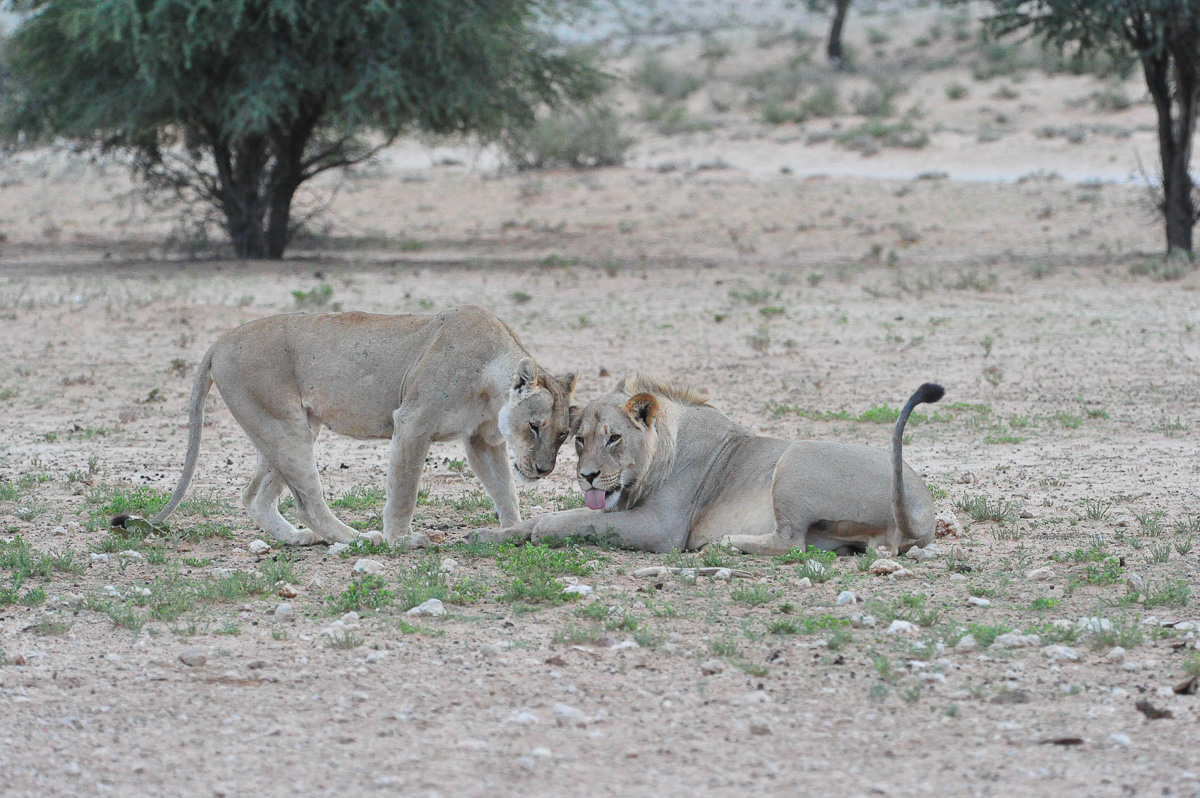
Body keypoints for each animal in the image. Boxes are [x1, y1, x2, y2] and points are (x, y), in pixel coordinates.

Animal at [134, 305, 577, 546]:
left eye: (562, 435)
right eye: (534, 426)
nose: (543, 470)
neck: (491, 381)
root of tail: (219, 341)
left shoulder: (483, 441)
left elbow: (504, 489)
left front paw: (512, 531)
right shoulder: (412, 424)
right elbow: (404, 492)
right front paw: (403, 540)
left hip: (284, 427)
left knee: (255, 496)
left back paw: (295, 538)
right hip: (285, 426)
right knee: (307, 501)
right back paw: (359, 540)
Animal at [483, 374, 943, 555]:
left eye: (614, 438)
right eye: (580, 439)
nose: (587, 476)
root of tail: (920, 509)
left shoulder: (662, 528)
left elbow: (583, 520)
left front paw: (546, 528)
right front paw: (492, 534)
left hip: (796, 458)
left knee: (789, 542)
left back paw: (724, 543)